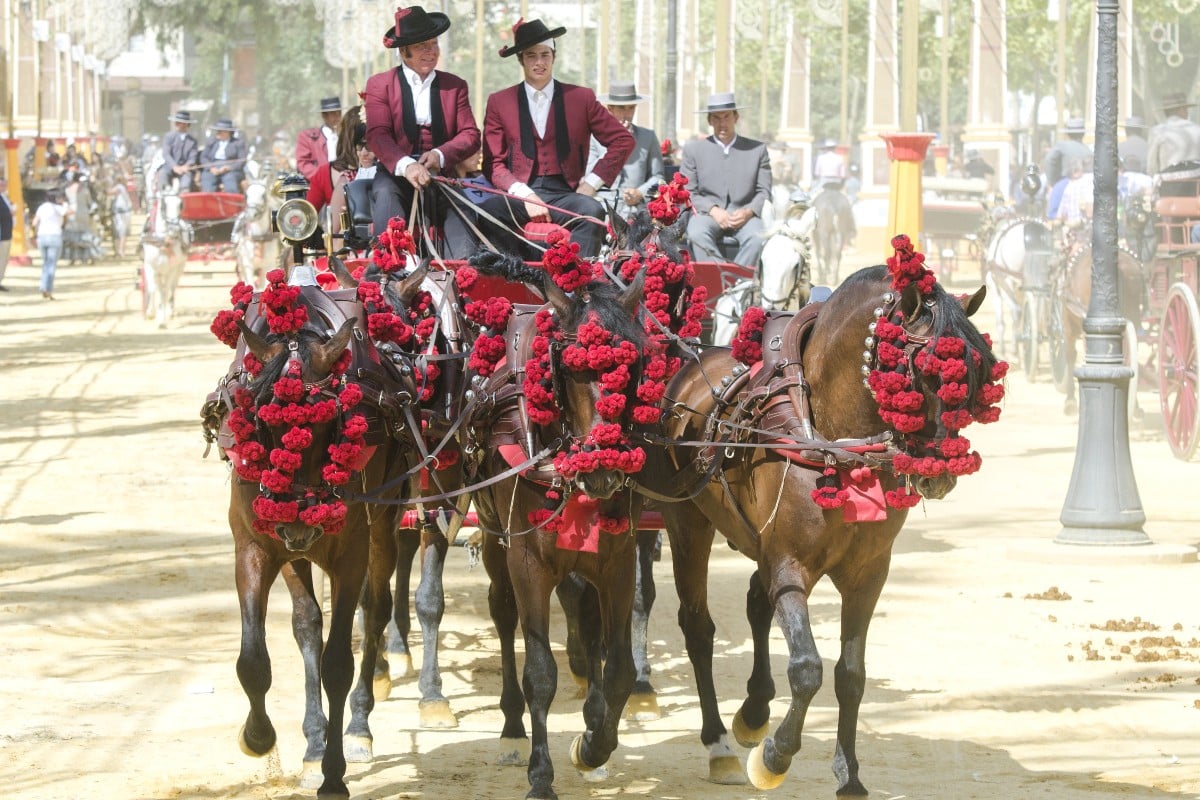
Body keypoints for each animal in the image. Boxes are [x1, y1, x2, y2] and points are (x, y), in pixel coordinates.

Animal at [141, 189, 192, 326]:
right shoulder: (152, 268)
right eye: (163, 205)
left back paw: (171, 311)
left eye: (181, 204)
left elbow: (165, 291)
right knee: (156, 287)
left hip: (179, 268)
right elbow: (154, 289)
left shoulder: (171, 269)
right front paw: (151, 312)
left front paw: (162, 319)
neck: (163, 241)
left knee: (171, 287)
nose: (174, 229)